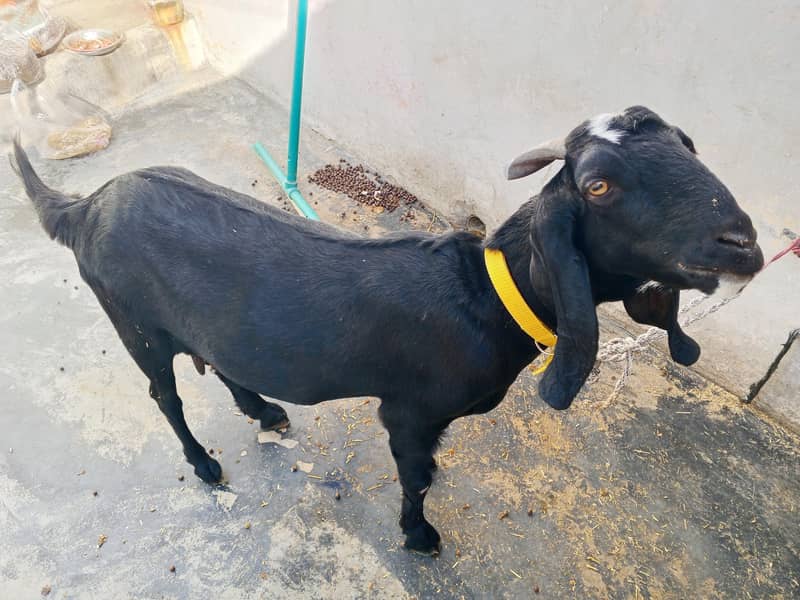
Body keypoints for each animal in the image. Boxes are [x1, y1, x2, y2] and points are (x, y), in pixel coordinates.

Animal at [11, 106, 763, 555]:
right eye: (599, 186)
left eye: (689, 145)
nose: (743, 243)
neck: (484, 296)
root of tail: (84, 206)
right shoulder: (409, 411)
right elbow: (416, 476)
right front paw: (420, 535)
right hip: (133, 320)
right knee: (164, 395)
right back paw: (203, 464)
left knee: (221, 356)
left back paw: (263, 410)